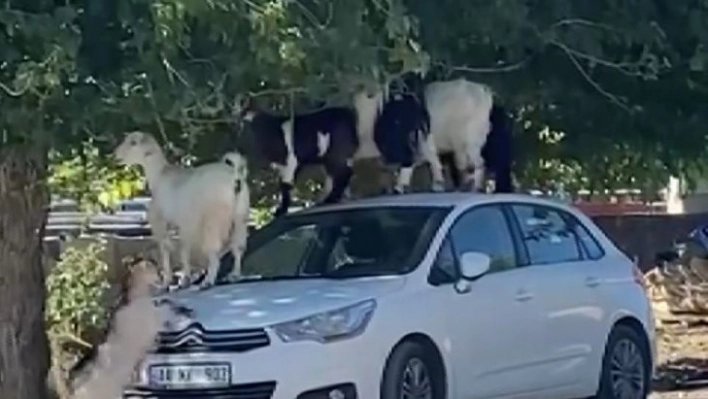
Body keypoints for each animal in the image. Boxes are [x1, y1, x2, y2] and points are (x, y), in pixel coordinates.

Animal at [114, 131, 252, 290]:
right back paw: (234, 275)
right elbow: (184, 249)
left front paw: (166, 283)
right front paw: (185, 279)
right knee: (238, 246)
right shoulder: (185, 223)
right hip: (241, 216)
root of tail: (235, 177)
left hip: (213, 219)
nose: (115, 155)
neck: (159, 176)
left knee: (214, 251)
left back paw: (207, 281)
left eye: (133, 142)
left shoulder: (161, 221)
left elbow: (166, 248)